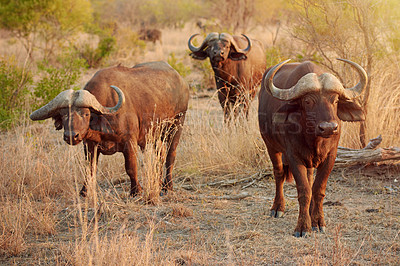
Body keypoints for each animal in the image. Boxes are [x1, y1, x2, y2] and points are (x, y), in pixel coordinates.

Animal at [30, 61, 190, 196]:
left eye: (86, 113)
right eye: (63, 114)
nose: (71, 136)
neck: (103, 120)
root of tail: (180, 80)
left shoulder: (129, 143)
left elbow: (131, 167)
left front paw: (136, 190)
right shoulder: (90, 145)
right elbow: (90, 168)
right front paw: (84, 191)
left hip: (177, 125)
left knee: (170, 155)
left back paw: (167, 186)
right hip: (154, 135)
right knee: (160, 154)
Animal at [260, 58, 368, 237]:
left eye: (335, 100)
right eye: (308, 101)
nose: (329, 128)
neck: (314, 139)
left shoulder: (331, 156)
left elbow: (317, 189)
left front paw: (317, 221)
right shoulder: (294, 157)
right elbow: (304, 190)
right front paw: (303, 227)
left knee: (310, 179)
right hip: (271, 146)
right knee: (279, 174)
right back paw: (277, 208)